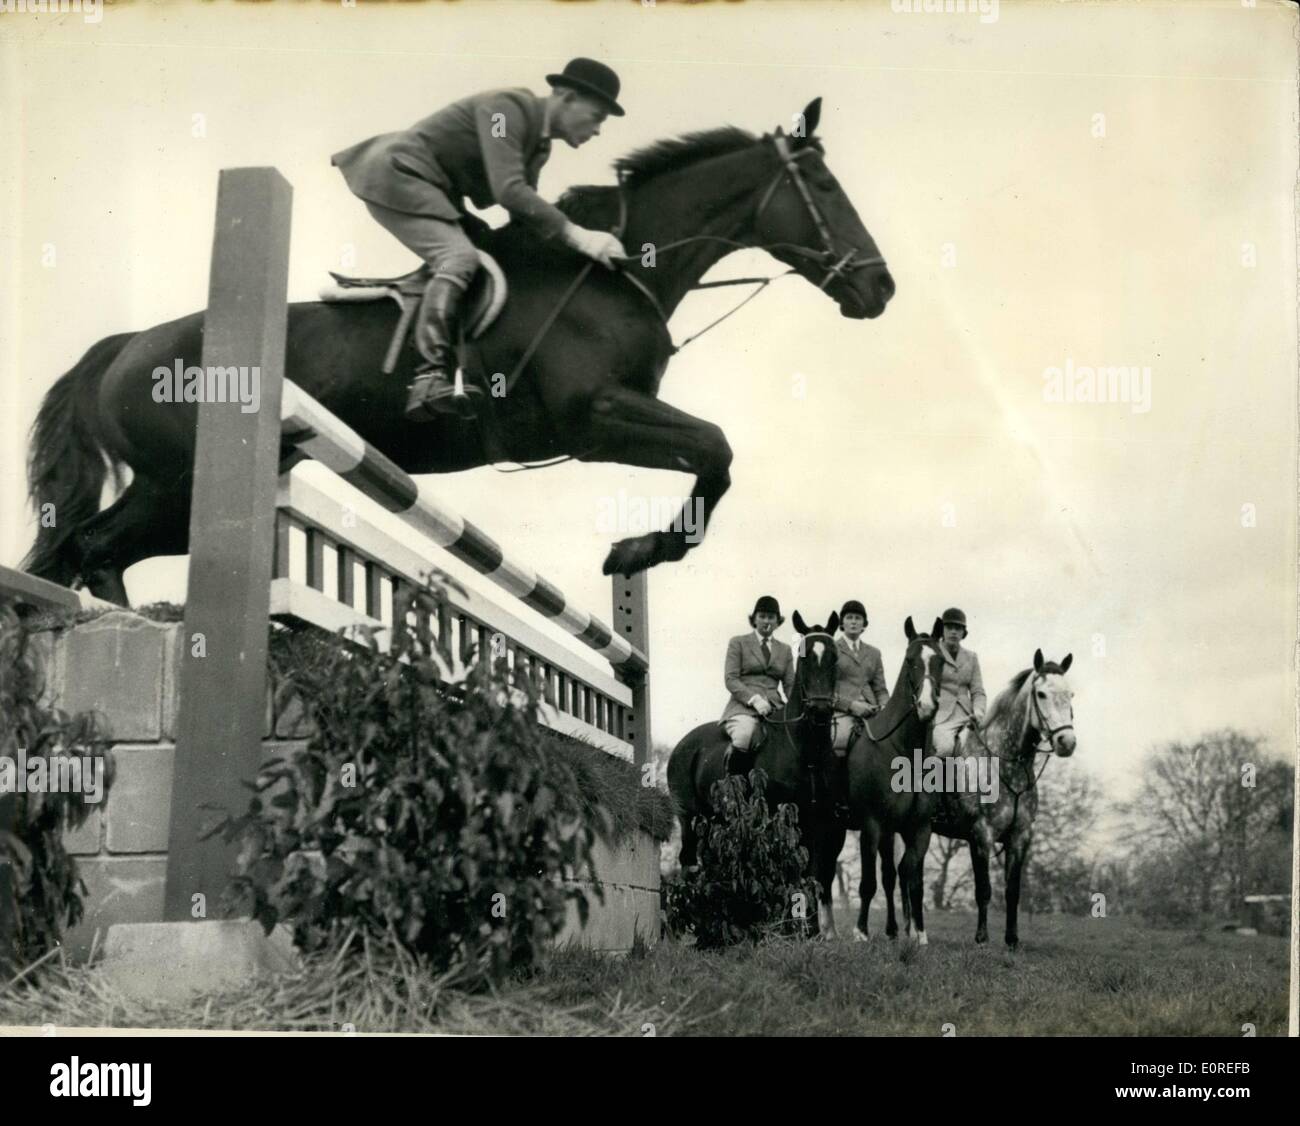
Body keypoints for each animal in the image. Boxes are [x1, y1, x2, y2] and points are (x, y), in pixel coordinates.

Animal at [22, 98, 894, 605]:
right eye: (827, 189)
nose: (880, 288)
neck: (612, 273)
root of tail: (124, 348)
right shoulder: (593, 420)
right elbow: (716, 449)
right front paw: (637, 548)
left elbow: (716, 456)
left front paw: (634, 552)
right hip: (181, 479)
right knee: (90, 547)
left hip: (193, 491)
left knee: (81, 549)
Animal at [670, 611, 842, 925]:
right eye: (804, 658)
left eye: (834, 657)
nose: (820, 711)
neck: (807, 751)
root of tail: (683, 744)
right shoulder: (778, 819)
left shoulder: (818, 824)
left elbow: (812, 877)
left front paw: (811, 930)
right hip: (689, 818)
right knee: (688, 864)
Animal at [821, 618, 946, 941]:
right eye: (910, 660)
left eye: (940, 660)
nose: (927, 706)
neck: (904, 752)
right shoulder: (871, 824)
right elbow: (868, 882)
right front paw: (861, 931)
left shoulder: (919, 827)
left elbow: (910, 877)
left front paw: (918, 933)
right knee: (820, 872)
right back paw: (824, 930)